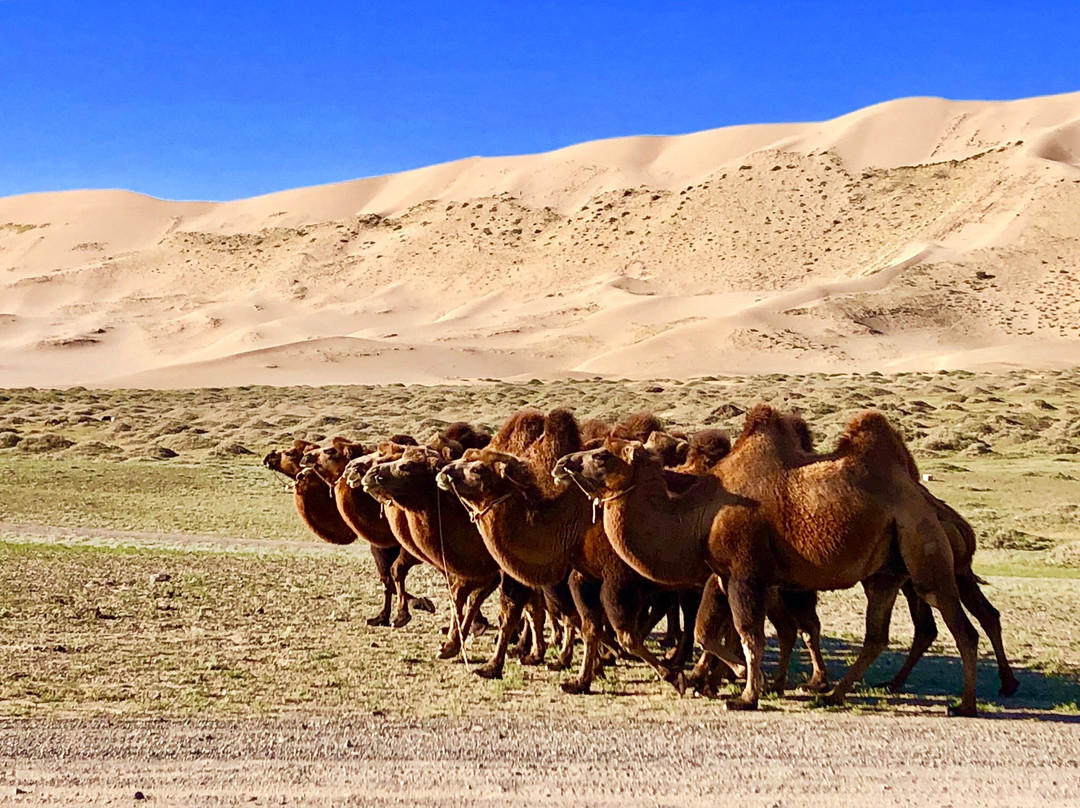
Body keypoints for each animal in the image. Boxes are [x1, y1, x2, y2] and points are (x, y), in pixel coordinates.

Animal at [557, 406, 989, 717]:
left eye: (601, 456)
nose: (563, 463)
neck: (698, 514)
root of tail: (925, 499)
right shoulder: (724, 574)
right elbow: (710, 632)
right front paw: (720, 677)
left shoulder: (745, 572)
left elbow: (748, 634)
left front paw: (745, 693)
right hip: (885, 573)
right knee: (876, 634)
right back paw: (833, 694)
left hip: (925, 555)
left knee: (961, 627)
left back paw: (965, 705)